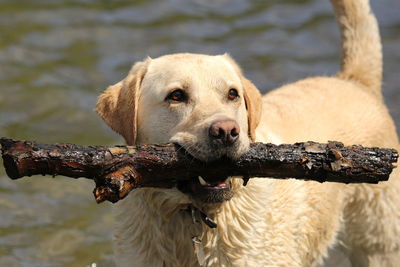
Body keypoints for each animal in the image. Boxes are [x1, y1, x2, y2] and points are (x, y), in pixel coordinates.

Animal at [96, 0, 400, 266]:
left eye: (233, 94)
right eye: (176, 96)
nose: (226, 131)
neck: (195, 216)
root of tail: (354, 80)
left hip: (379, 244)